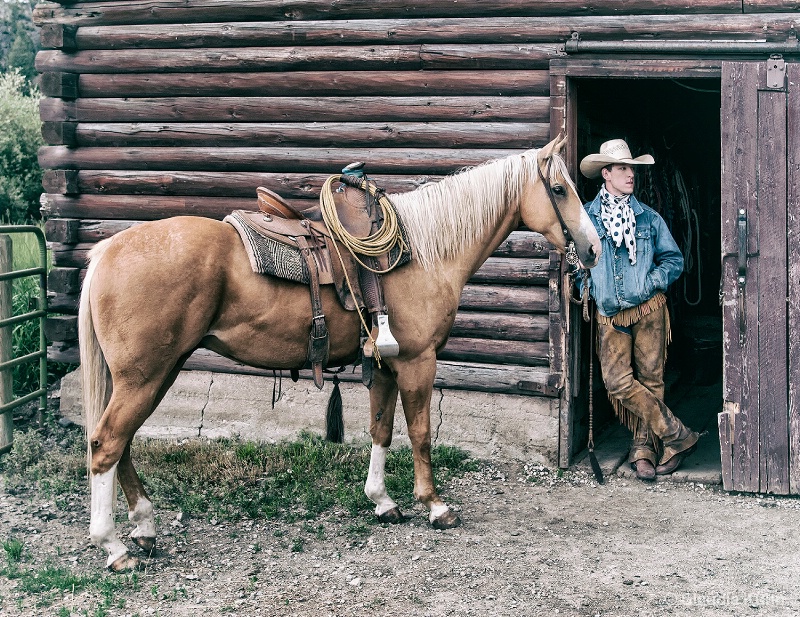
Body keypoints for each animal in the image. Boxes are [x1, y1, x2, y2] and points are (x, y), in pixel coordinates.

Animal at [79, 135, 600, 568]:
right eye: (559, 189)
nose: (593, 249)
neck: (423, 253)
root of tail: (107, 251)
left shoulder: (386, 364)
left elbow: (381, 430)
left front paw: (383, 501)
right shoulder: (418, 361)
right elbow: (421, 433)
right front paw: (435, 506)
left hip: (156, 372)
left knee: (122, 442)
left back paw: (144, 527)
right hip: (146, 375)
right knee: (106, 443)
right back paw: (113, 546)